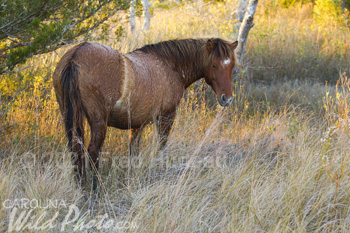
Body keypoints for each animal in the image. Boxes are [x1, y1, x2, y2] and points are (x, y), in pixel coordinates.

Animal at [52, 37, 238, 188]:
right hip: (99, 122)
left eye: (231, 66)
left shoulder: (137, 124)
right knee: (93, 151)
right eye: (214, 65)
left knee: (75, 149)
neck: (169, 66)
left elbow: (133, 151)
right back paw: (95, 189)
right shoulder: (167, 117)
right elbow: (161, 146)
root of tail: (75, 56)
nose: (227, 98)